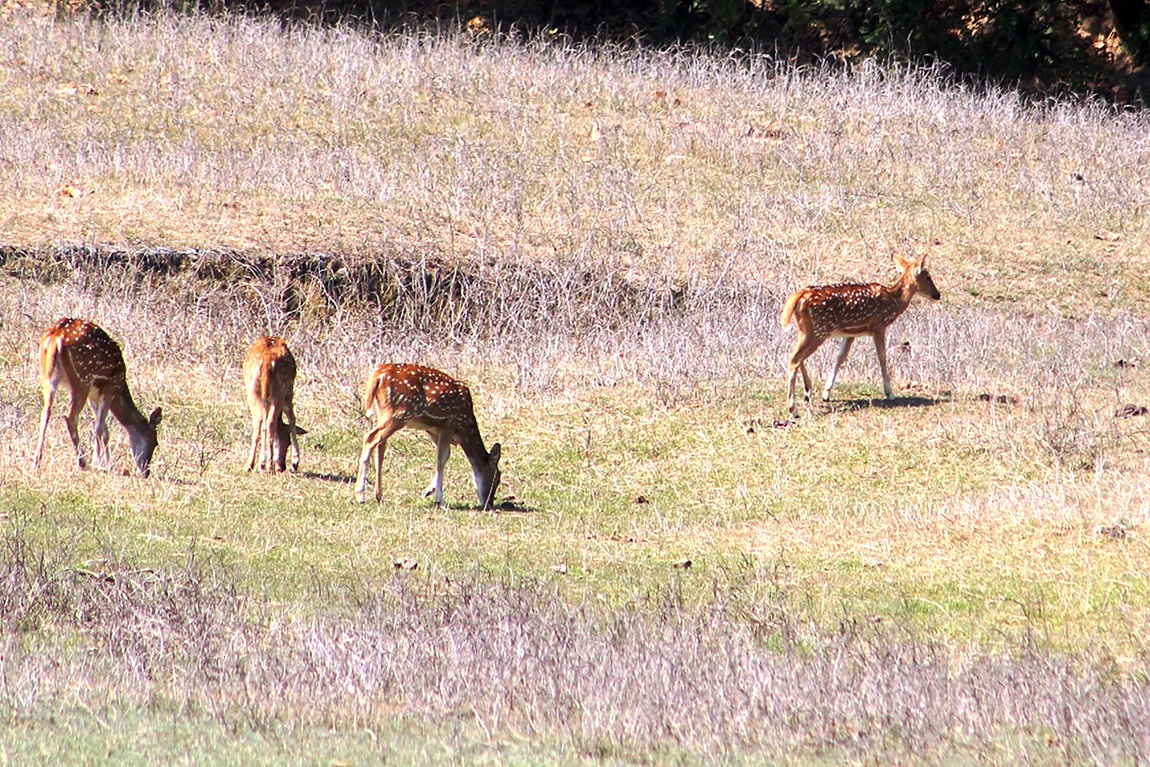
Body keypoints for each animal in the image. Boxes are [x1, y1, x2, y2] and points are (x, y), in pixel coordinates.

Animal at [32, 317, 163, 473]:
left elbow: (105, 431)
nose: (146, 472)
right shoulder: (110, 389)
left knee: (45, 412)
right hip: (83, 379)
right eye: (155, 442)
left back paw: (36, 461)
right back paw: (82, 462)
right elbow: (99, 428)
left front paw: (108, 463)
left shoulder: (94, 396)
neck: (120, 388)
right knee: (70, 416)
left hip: (47, 376)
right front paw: (98, 462)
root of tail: (56, 337)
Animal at [242, 335, 305, 473]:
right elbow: (292, 418)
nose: (282, 466)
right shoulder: (288, 392)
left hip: (252, 390)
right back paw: (269, 467)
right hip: (280, 390)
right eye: (287, 442)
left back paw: (251, 465)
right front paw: (295, 462)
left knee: (258, 422)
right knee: (271, 421)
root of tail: (267, 361)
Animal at [351, 365, 501, 510]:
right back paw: (360, 495)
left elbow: (446, 455)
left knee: (380, 446)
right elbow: (441, 458)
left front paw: (428, 491)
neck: (464, 428)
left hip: (383, 412)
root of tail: (378, 374)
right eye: (497, 477)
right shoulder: (449, 424)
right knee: (370, 438)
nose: (488, 504)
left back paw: (378, 495)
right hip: (399, 412)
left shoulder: (434, 430)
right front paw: (439, 499)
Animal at [782, 252, 943, 416]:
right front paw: (889, 393)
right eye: (928, 276)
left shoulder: (850, 332)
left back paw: (807, 394)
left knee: (796, 356)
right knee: (794, 358)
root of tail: (800, 296)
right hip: (819, 330)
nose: (937, 294)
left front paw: (826, 393)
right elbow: (882, 357)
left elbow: (840, 357)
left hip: (806, 330)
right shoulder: (879, 326)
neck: (895, 301)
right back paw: (793, 409)